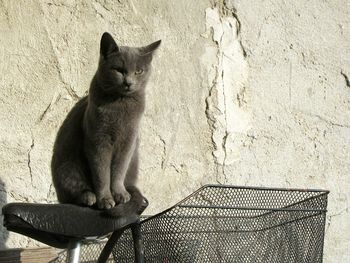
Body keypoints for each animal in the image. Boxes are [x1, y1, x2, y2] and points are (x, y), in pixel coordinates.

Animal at [51, 33, 161, 218]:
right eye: (118, 70)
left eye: (139, 71)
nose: (128, 82)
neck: (120, 103)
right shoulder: (98, 140)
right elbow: (101, 172)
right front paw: (105, 200)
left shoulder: (128, 141)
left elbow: (118, 169)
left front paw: (120, 195)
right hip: (67, 166)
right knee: (72, 192)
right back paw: (88, 197)